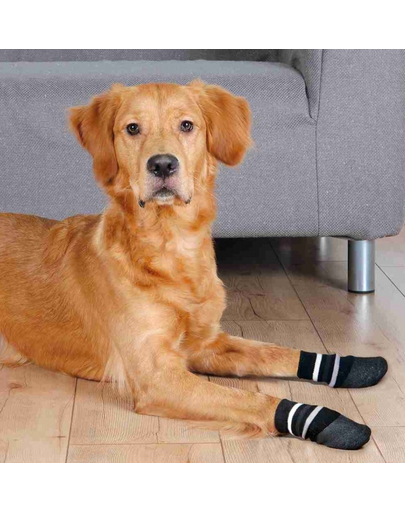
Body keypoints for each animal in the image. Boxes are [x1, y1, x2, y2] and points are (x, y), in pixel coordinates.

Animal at [0, 81, 387, 449]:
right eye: (132, 128)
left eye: (186, 125)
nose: (162, 164)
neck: (172, 246)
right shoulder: (157, 375)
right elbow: (255, 399)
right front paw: (333, 422)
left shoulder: (204, 343)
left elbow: (276, 351)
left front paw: (353, 365)